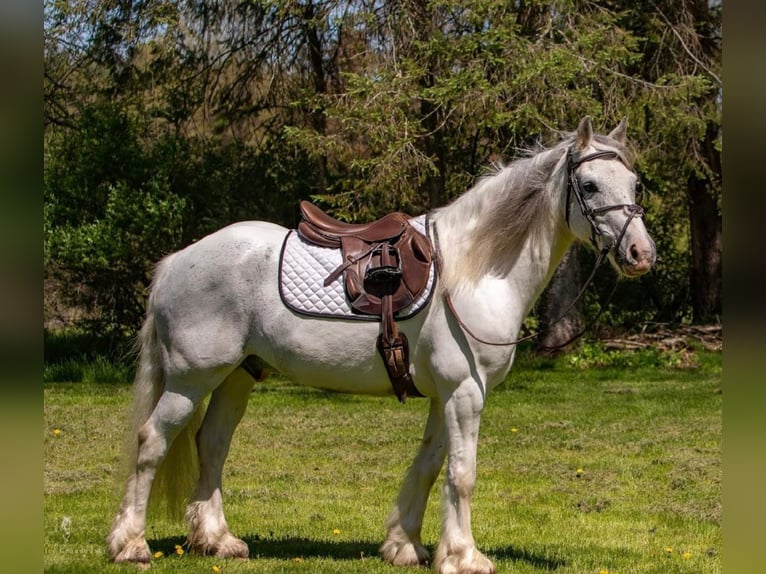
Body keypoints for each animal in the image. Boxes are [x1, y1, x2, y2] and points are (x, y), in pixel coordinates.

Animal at [108, 117, 656, 574]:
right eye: (589, 185)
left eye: (633, 185)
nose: (640, 254)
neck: (474, 270)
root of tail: (178, 261)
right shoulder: (465, 392)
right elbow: (462, 473)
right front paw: (464, 557)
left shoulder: (445, 395)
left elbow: (429, 466)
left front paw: (405, 545)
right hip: (190, 379)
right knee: (152, 441)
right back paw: (131, 545)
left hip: (237, 376)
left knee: (213, 444)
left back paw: (218, 540)